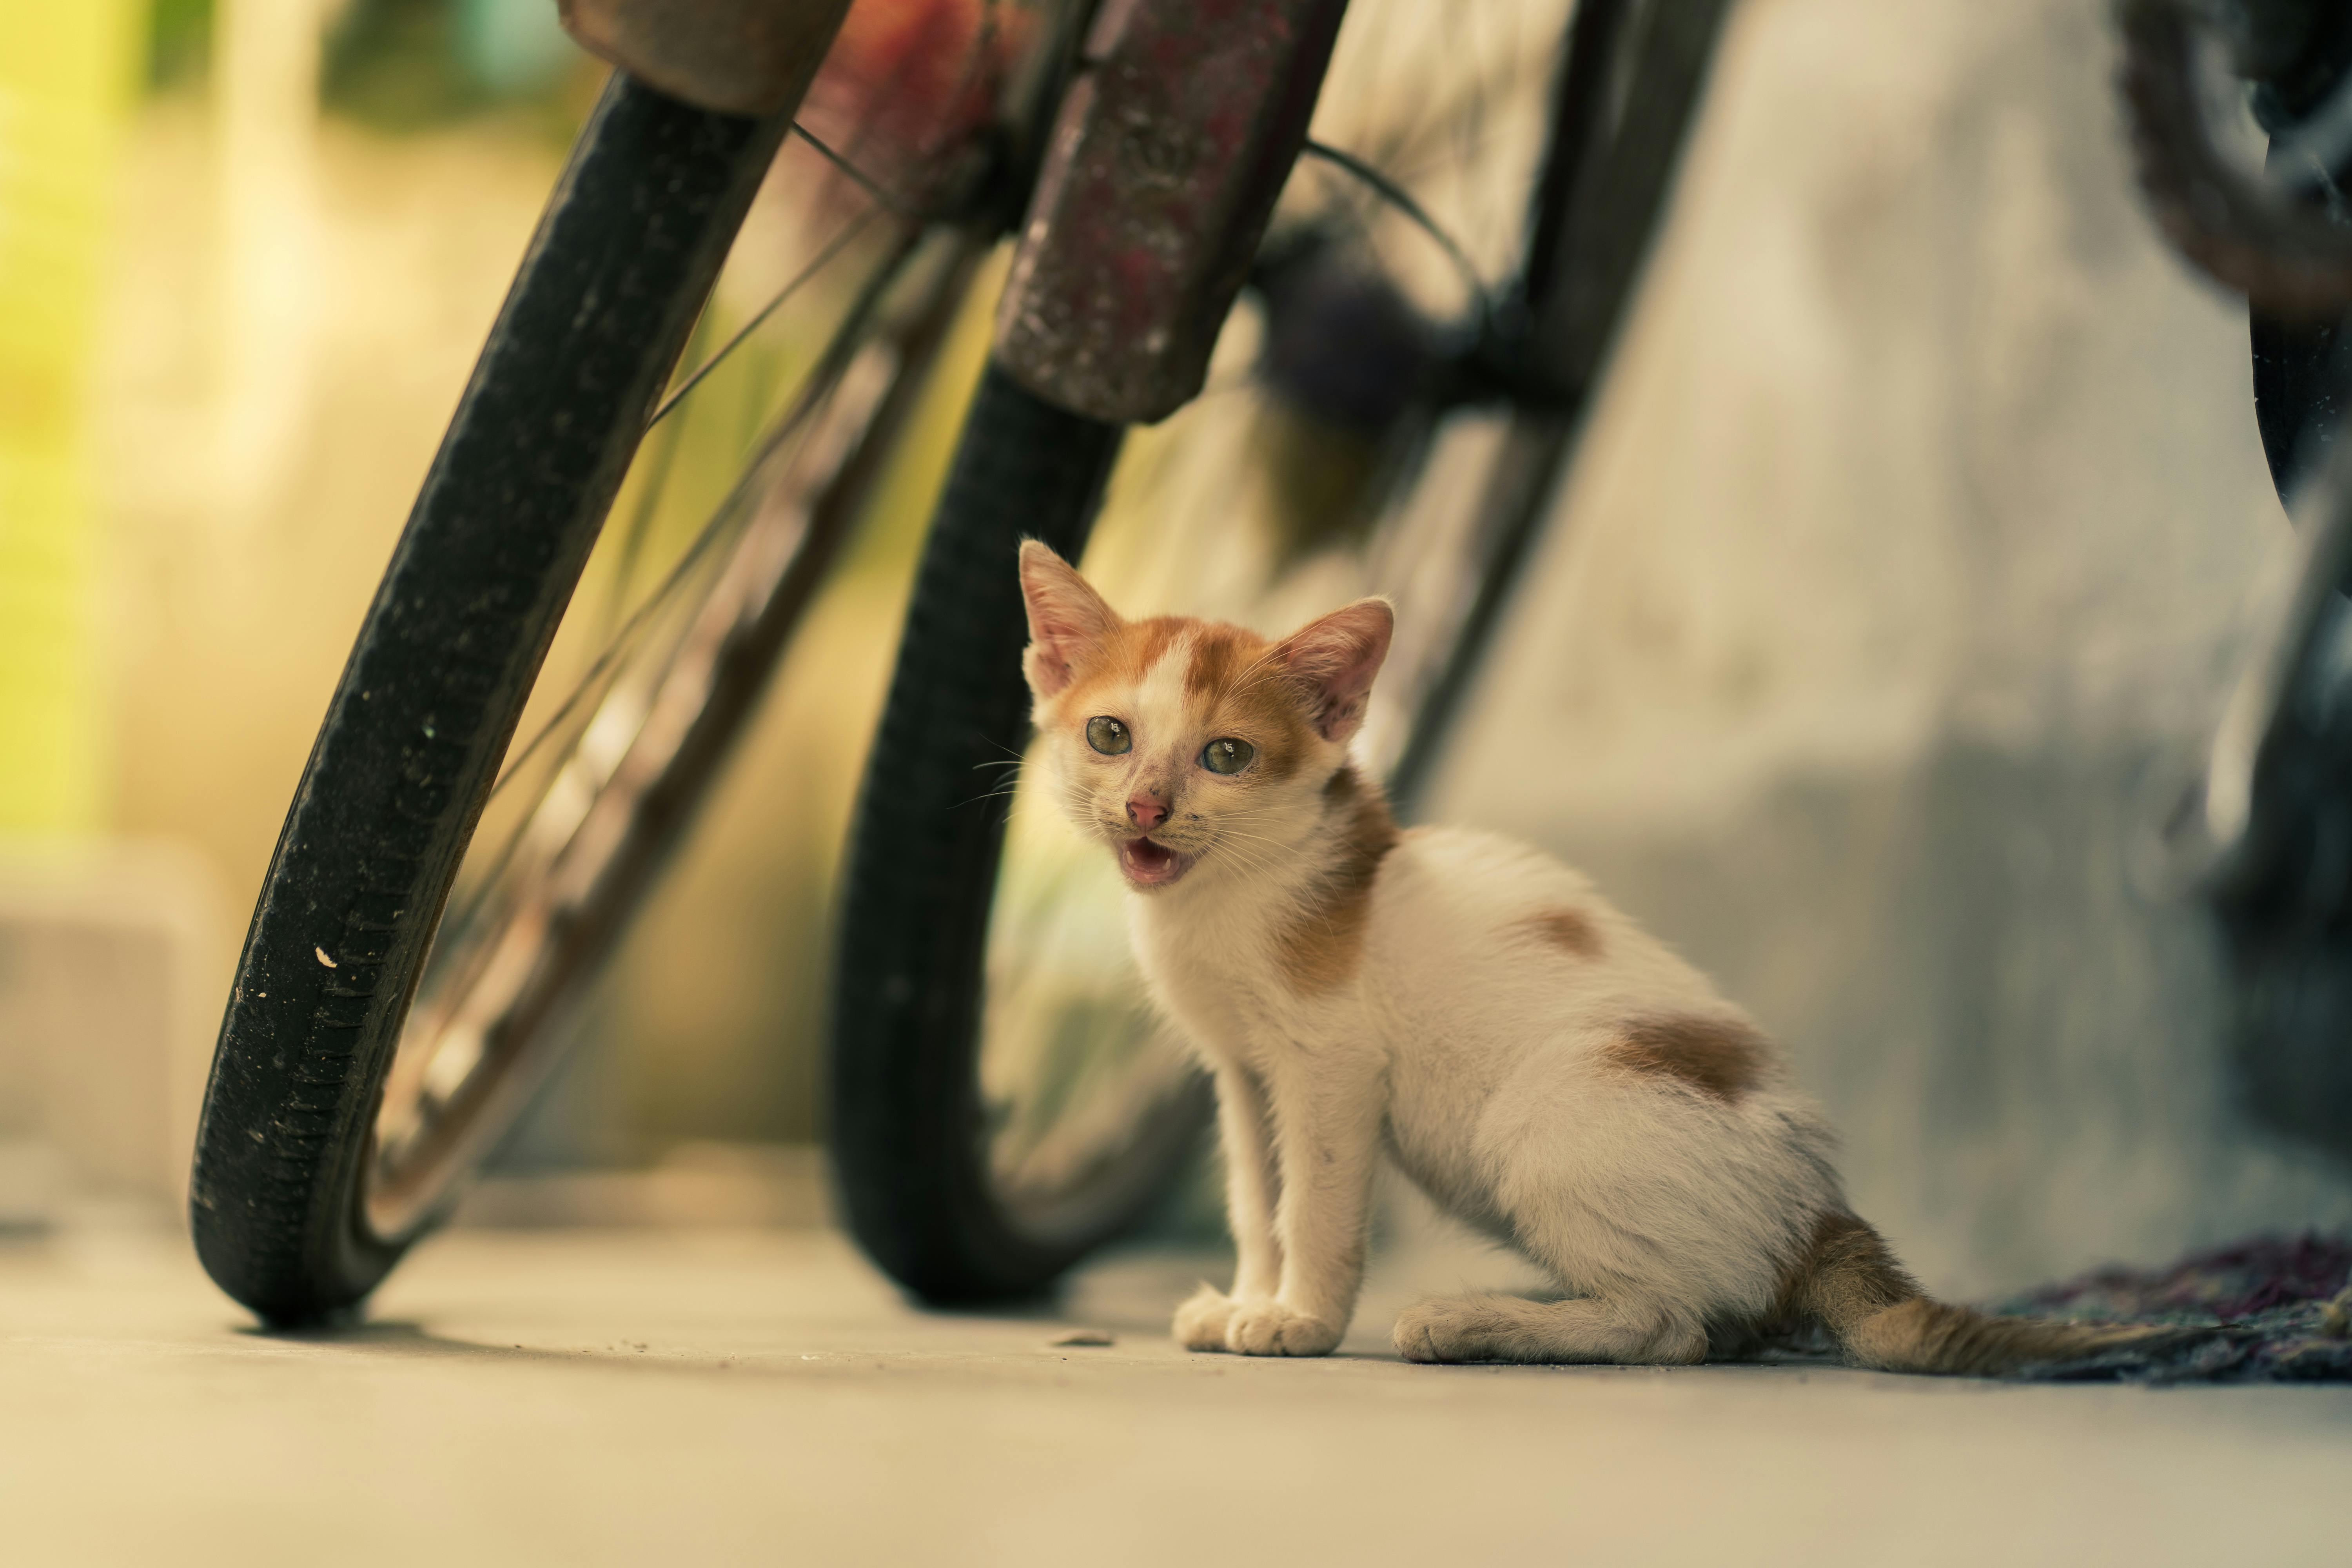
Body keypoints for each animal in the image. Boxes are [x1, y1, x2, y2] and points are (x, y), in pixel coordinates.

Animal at [1016, 543, 2154, 1373]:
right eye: (1111, 736)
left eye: (1226, 756)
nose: (1147, 808)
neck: (1228, 895)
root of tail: (1821, 1212)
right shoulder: (1244, 1071)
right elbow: (1259, 1201)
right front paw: (1252, 1297)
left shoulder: (1330, 1067)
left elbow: (1317, 1204)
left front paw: (1301, 1319)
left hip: (1543, 1117)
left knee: (1674, 1327)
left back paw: (1475, 1324)